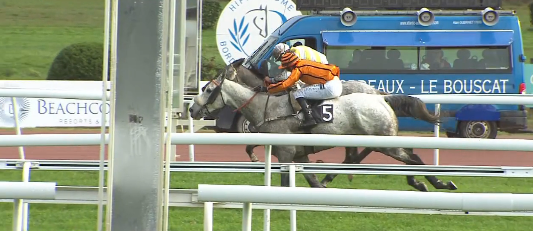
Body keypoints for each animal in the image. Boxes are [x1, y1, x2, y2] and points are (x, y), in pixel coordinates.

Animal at [188, 66, 458, 192]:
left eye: (208, 89)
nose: (191, 109)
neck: (266, 106)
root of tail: (382, 98)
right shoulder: (298, 154)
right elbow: (312, 182)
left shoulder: (286, 153)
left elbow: (286, 183)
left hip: (383, 142)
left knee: (413, 157)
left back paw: (437, 183)